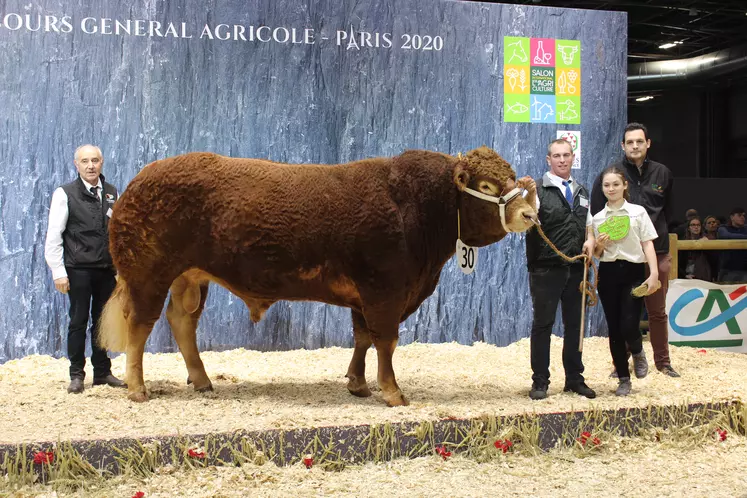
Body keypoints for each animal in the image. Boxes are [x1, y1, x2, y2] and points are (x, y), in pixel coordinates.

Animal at [99, 147, 536, 404]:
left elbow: (362, 339)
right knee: (140, 326)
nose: (530, 213)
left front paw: (358, 384)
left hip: (190, 278)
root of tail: (139, 180)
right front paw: (393, 392)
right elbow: (386, 341)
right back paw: (138, 389)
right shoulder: (385, 290)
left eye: (512, 177)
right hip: (147, 275)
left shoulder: (366, 296)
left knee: (182, 322)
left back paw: (202, 380)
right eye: (486, 184)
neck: (419, 205)